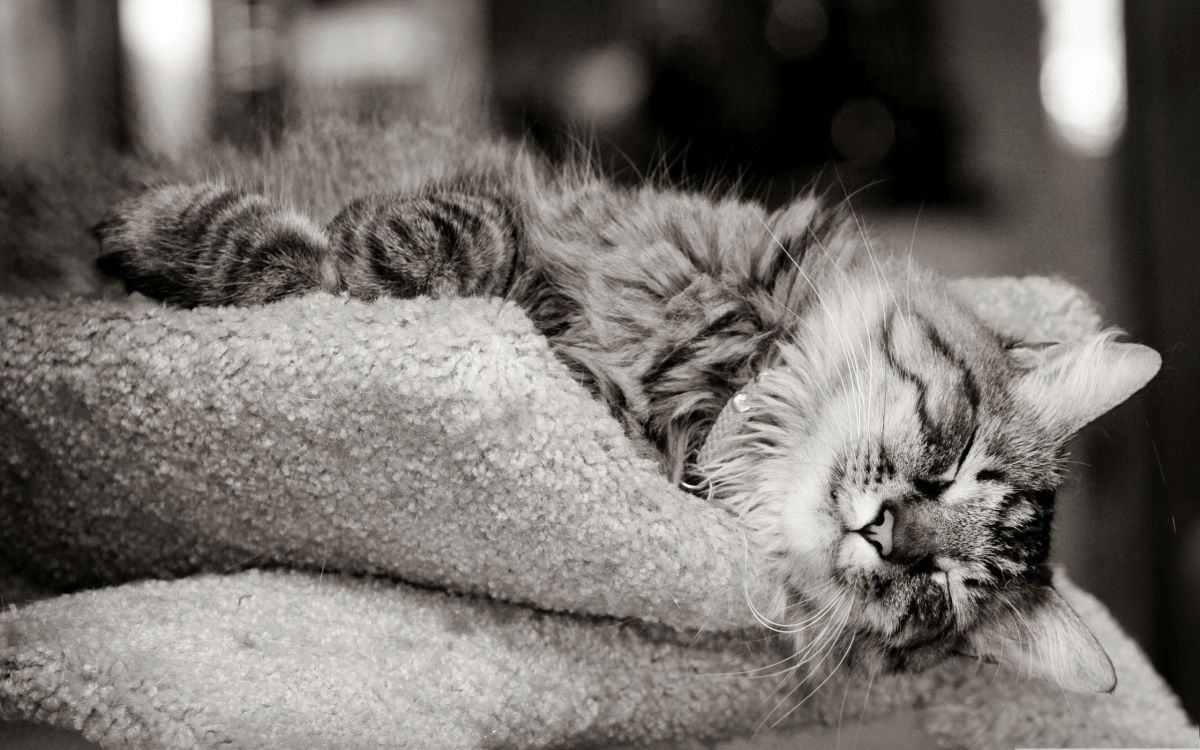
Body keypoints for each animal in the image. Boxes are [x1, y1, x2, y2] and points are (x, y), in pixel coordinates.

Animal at [88, 134, 1156, 691]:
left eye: (935, 592)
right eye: (949, 457)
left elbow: (343, 266)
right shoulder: (538, 215)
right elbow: (428, 241)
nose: (887, 534)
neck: (722, 391)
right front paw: (151, 229)